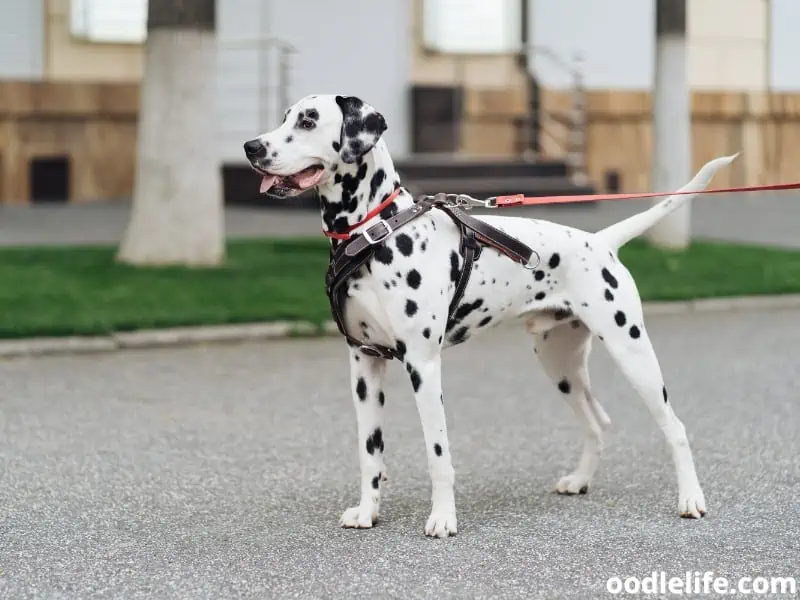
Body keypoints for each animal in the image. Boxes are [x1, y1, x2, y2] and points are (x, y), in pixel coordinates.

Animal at [244, 94, 736, 540]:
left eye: (309, 120)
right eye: (284, 117)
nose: (251, 147)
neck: (374, 232)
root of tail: (601, 241)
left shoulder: (423, 366)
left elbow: (438, 454)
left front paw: (443, 519)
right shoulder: (364, 365)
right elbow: (370, 453)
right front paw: (368, 512)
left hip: (632, 353)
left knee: (675, 427)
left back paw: (691, 499)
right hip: (561, 367)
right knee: (597, 423)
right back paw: (580, 480)